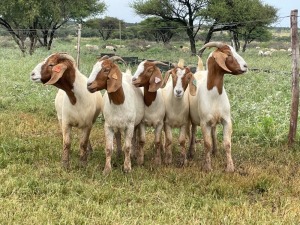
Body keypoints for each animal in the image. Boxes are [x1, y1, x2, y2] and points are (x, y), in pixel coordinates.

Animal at [190, 41, 248, 172]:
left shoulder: (226, 120)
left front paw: (230, 167)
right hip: (192, 118)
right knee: (193, 131)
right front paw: (207, 167)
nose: (245, 66)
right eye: (228, 54)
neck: (214, 95)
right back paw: (191, 151)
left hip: (214, 120)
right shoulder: (204, 122)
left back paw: (215, 151)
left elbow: (227, 143)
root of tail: (200, 71)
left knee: (214, 132)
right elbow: (207, 144)